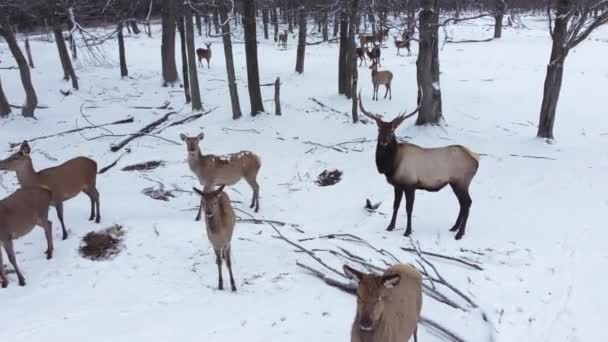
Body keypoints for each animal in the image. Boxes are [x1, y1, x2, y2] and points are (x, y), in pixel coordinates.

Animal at [356, 92, 480, 239]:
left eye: (392, 130)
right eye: (379, 129)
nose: (384, 141)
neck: (392, 165)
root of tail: (476, 159)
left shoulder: (410, 185)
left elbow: (409, 209)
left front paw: (407, 231)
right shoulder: (398, 185)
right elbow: (395, 206)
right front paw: (390, 227)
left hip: (461, 181)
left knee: (467, 203)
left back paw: (460, 233)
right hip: (456, 183)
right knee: (463, 204)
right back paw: (454, 228)